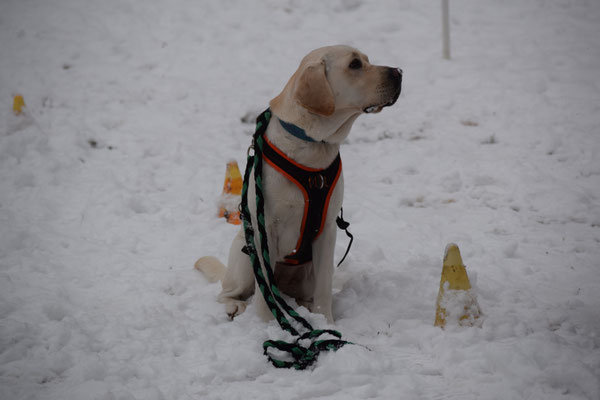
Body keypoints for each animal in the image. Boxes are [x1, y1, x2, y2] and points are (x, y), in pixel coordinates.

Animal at [198, 45, 404, 324]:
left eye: (367, 60)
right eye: (354, 64)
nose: (399, 72)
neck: (313, 142)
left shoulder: (327, 231)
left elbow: (324, 288)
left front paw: (326, 322)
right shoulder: (265, 229)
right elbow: (265, 291)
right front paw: (266, 324)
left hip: (306, 273)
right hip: (243, 259)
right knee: (229, 292)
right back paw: (235, 307)